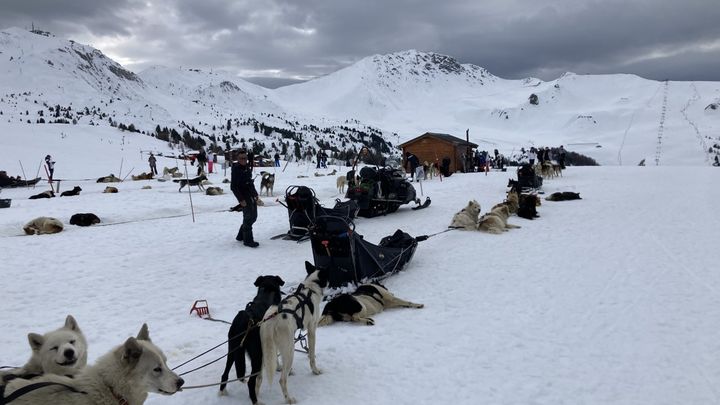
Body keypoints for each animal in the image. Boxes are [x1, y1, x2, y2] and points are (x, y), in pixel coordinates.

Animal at [219, 274, 284, 402]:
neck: (266, 293)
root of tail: (243, 323)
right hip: (256, 355)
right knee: (250, 382)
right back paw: (256, 401)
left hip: (232, 351)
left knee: (224, 374)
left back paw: (222, 392)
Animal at [260, 260, 330, 402]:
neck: (310, 289)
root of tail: (271, 321)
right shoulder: (312, 329)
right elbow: (312, 355)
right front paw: (315, 370)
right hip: (289, 350)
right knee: (282, 380)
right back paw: (289, 399)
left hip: (269, 349)